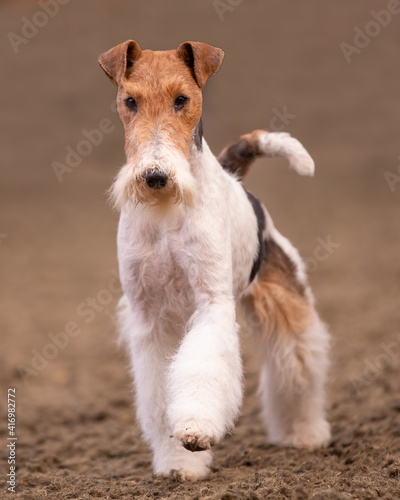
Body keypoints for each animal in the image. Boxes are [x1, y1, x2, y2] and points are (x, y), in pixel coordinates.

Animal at [98, 40, 330, 480]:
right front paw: (178, 464)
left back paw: (304, 434)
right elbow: (159, 396)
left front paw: (195, 431)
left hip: (285, 298)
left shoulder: (210, 302)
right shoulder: (149, 315)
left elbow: (202, 367)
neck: (164, 212)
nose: (155, 176)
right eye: (130, 100)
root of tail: (234, 176)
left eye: (182, 99)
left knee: (298, 369)